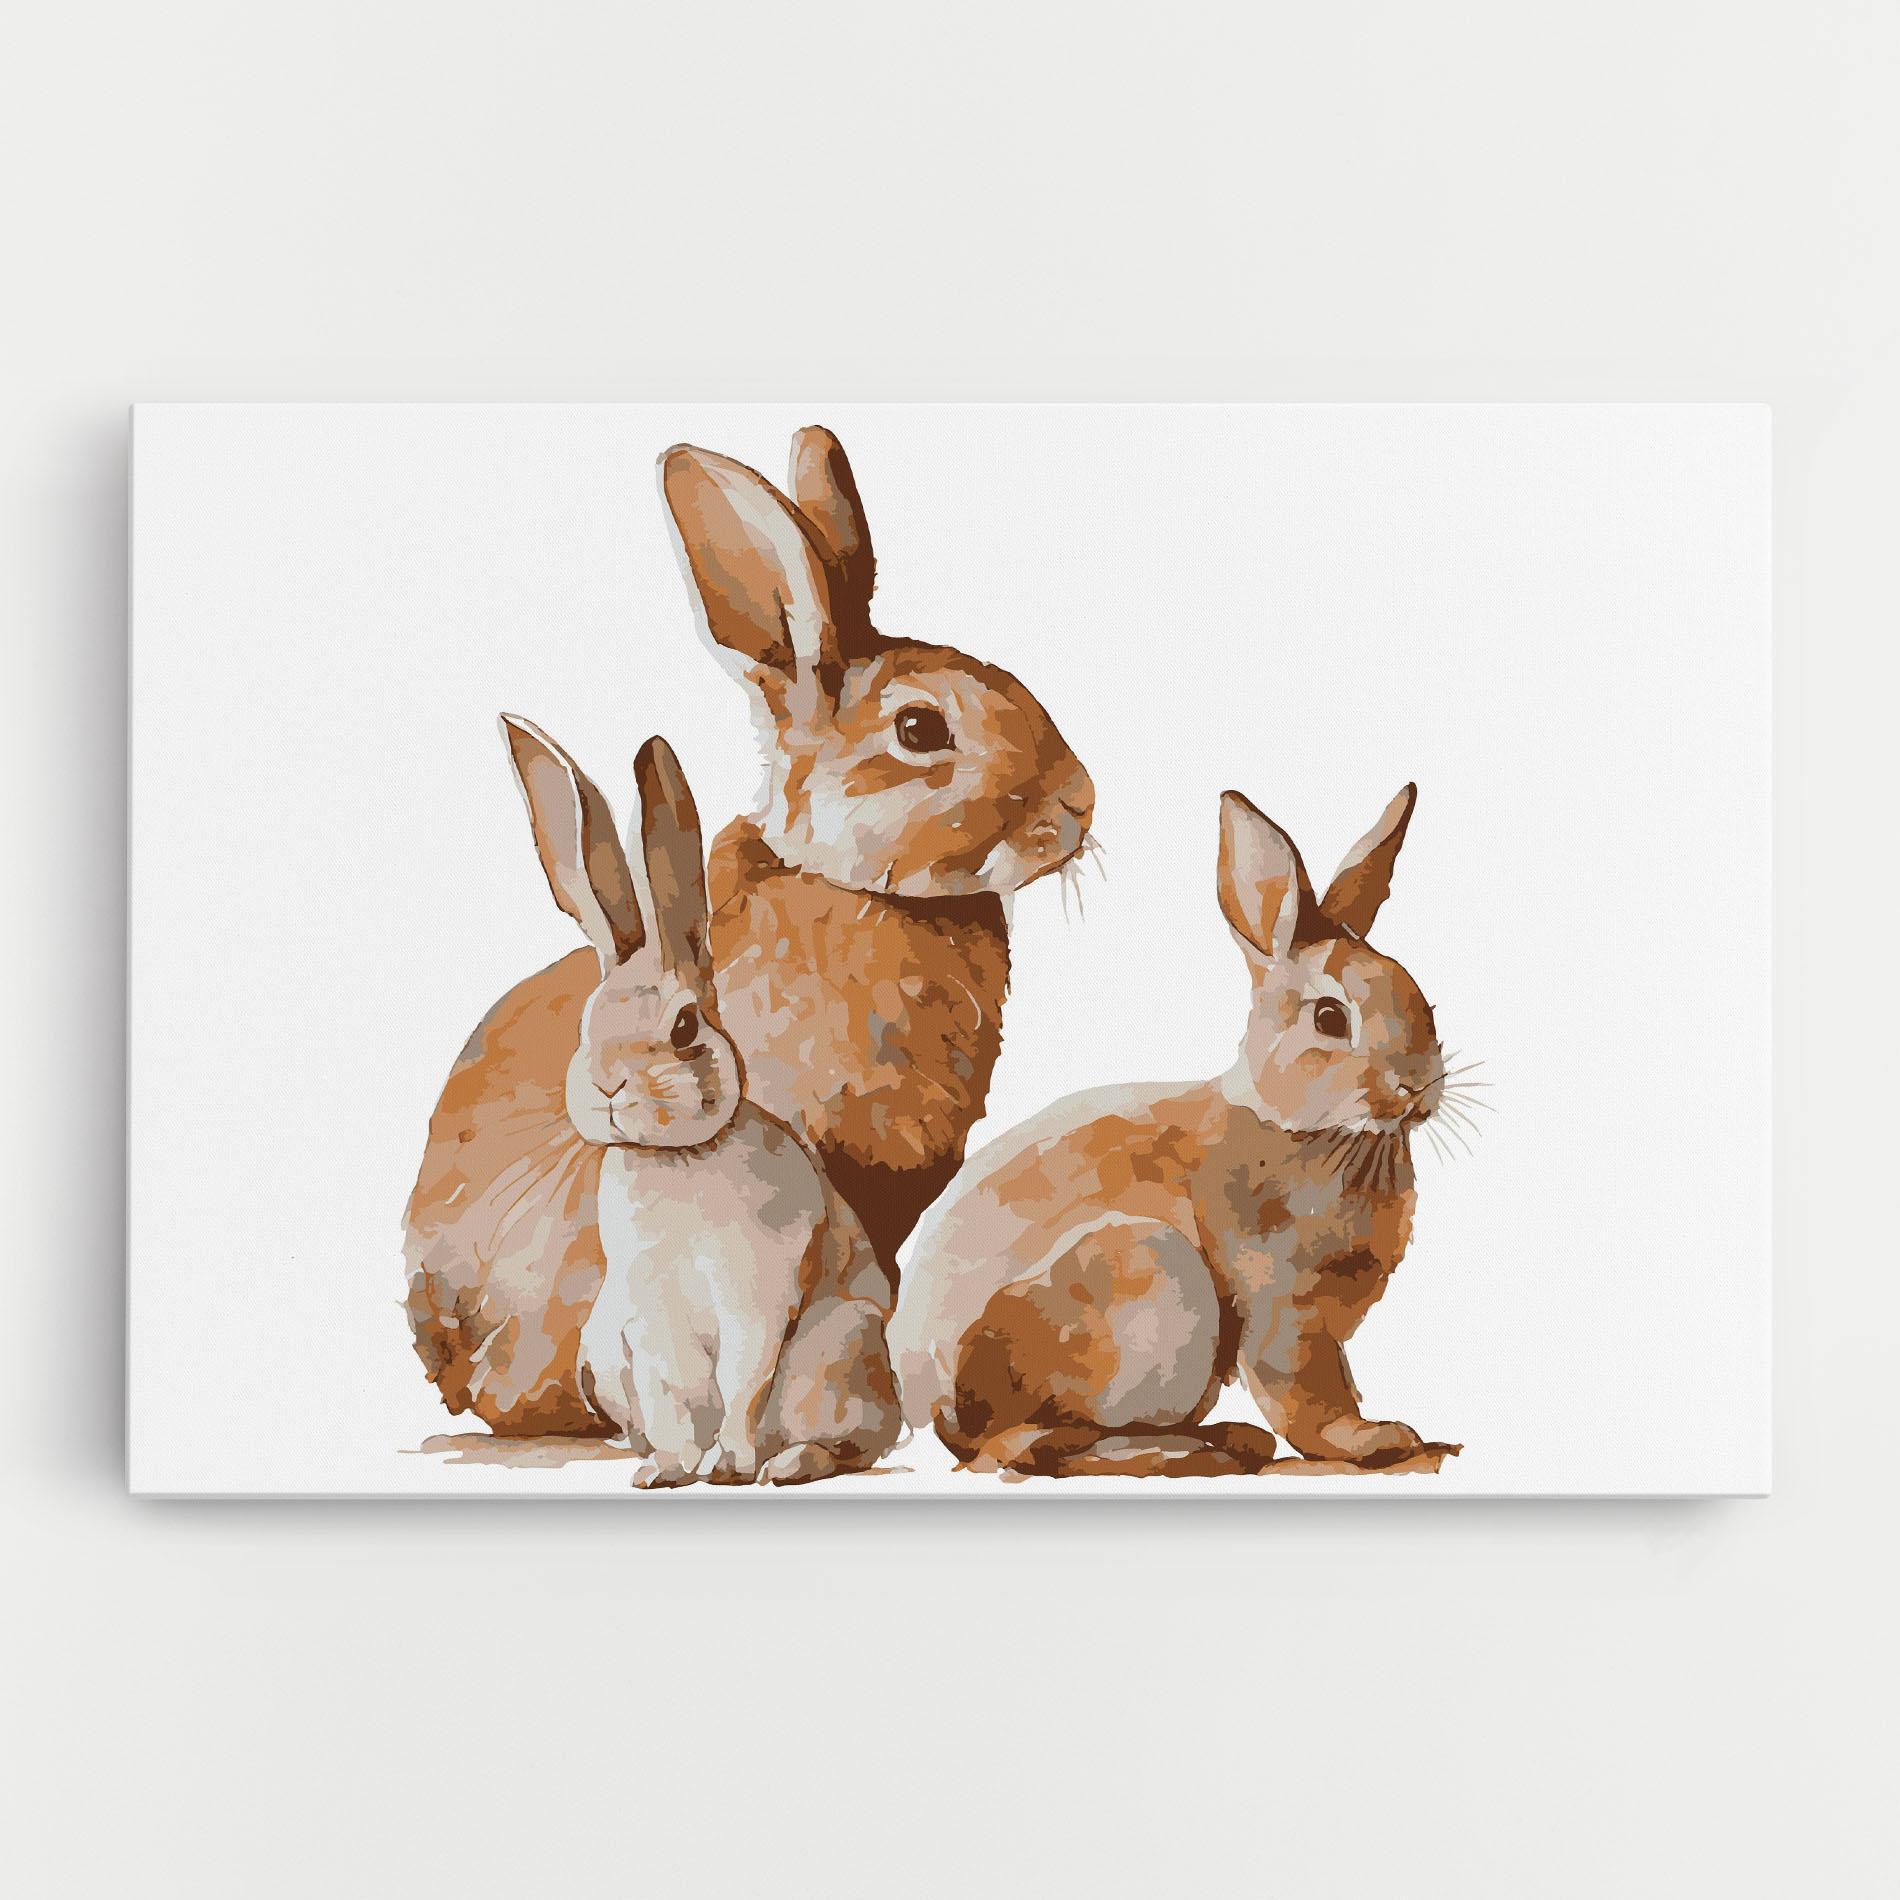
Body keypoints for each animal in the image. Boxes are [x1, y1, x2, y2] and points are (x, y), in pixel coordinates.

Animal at [404, 717, 900, 1484]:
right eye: (588, 1023)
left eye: (685, 1026)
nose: (609, 1086)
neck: (678, 1158)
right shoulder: (649, 1319)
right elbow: (671, 1396)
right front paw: (668, 1471)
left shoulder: (756, 1301)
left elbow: (744, 1384)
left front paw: (728, 1464)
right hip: (605, 1351)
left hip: (837, 1354)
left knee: (850, 1443)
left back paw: (783, 1465)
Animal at [887, 783, 1465, 1479]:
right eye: (1330, 1018)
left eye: (1422, 997)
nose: (1419, 1087)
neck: (1318, 1131)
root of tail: (929, 1403)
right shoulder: (1283, 1309)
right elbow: (1307, 1398)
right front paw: (1374, 1439)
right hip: (1146, 1278)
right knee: (1025, 1445)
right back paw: (1186, 1449)